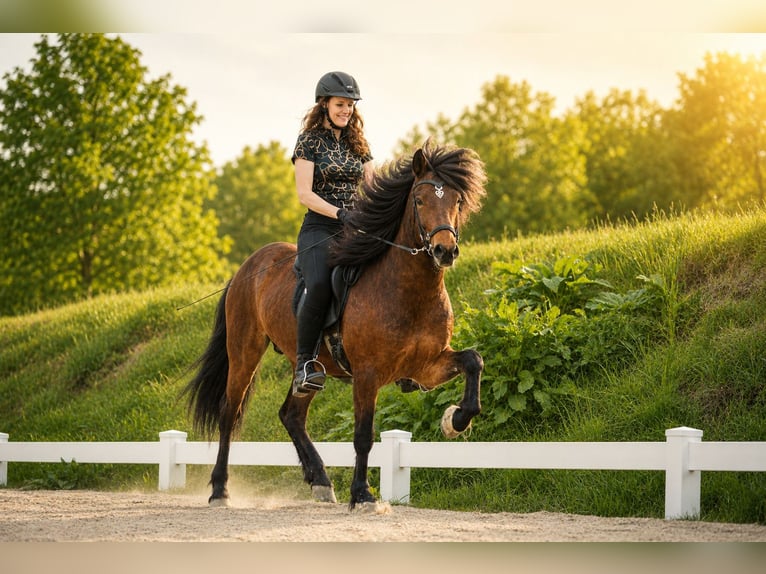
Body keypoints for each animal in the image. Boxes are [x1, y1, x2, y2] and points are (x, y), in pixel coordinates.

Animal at [184, 140, 488, 510]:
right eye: (419, 200)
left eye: (456, 200)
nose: (445, 250)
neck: (407, 289)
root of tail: (248, 266)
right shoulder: (368, 374)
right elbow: (363, 435)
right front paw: (363, 495)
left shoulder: (427, 365)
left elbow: (473, 360)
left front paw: (455, 420)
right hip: (245, 351)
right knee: (230, 412)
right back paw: (220, 490)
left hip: (307, 366)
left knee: (291, 415)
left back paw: (320, 482)